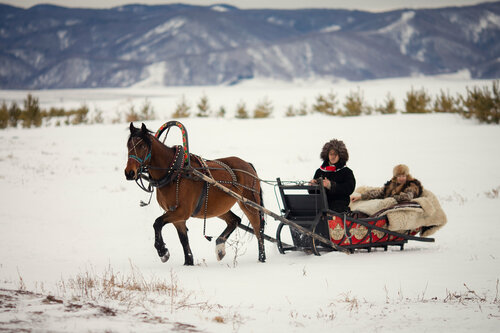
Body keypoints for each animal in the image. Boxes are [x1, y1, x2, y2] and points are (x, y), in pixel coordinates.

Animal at [124, 122, 266, 264]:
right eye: (128, 146)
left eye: (142, 146)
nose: (129, 173)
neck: (174, 172)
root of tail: (247, 165)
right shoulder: (177, 216)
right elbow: (183, 240)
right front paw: (188, 262)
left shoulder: (182, 212)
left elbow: (157, 222)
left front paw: (162, 251)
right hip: (217, 207)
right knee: (235, 220)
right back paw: (220, 247)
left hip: (249, 203)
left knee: (258, 229)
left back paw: (261, 258)